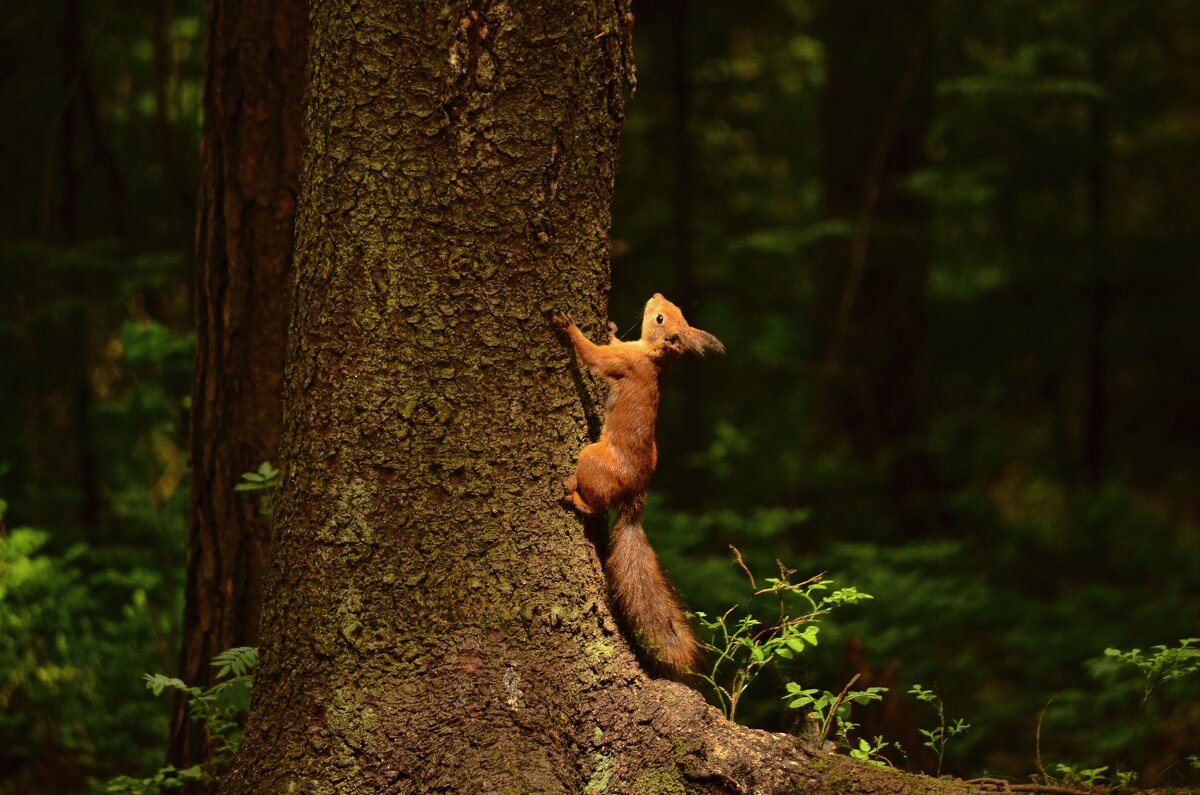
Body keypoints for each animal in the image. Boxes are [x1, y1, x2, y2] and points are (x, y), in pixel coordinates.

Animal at [552, 295, 720, 682]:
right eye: (670, 312)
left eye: (659, 318)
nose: (656, 295)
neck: (653, 357)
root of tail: (635, 498)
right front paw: (611, 328)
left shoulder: (623, 361)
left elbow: (594, 356)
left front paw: (569, 327)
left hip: (592, 459)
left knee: (598, 505)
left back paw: (575, 496)